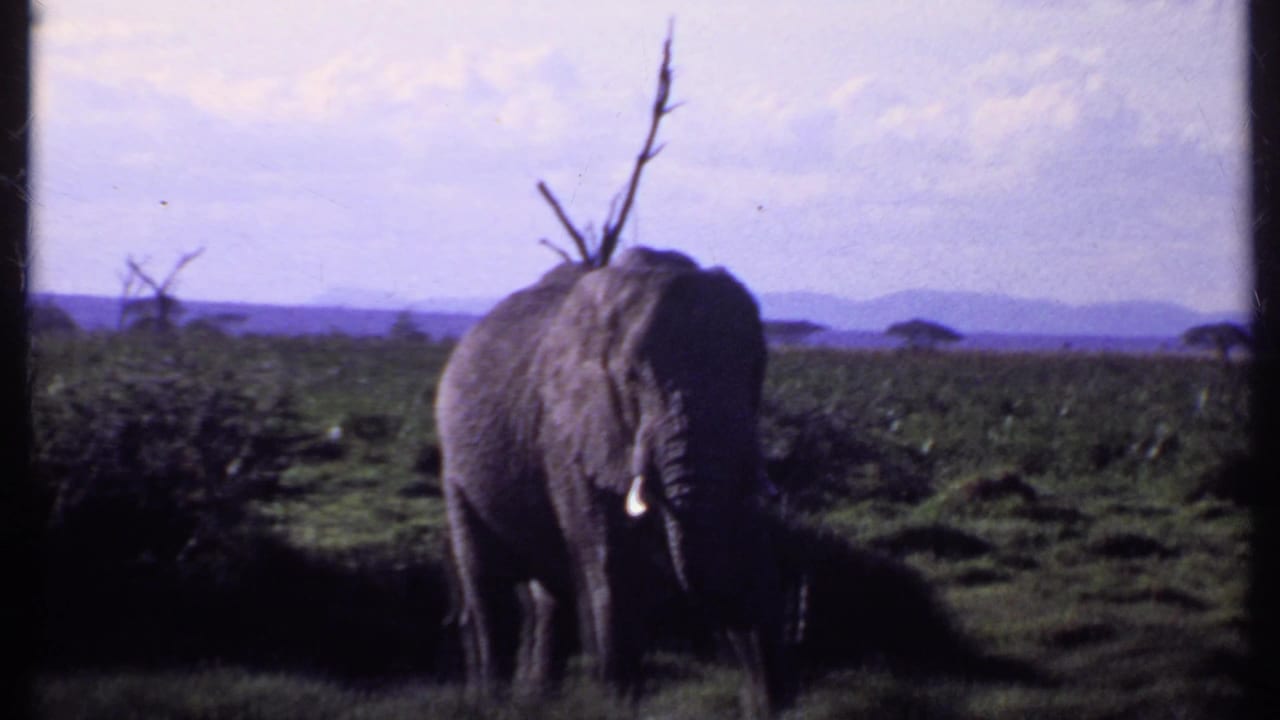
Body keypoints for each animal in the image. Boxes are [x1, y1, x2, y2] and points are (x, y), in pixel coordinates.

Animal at [436, 246, 791, 716]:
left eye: (756, 370)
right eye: (632, 379)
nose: (758, 699)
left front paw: (767, 706)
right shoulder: (565, 432)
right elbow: (611, 563)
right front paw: (621, 708)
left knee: (551, 593)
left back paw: (538, 698)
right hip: (456, 468)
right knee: (486, 586)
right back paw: (491, 701)